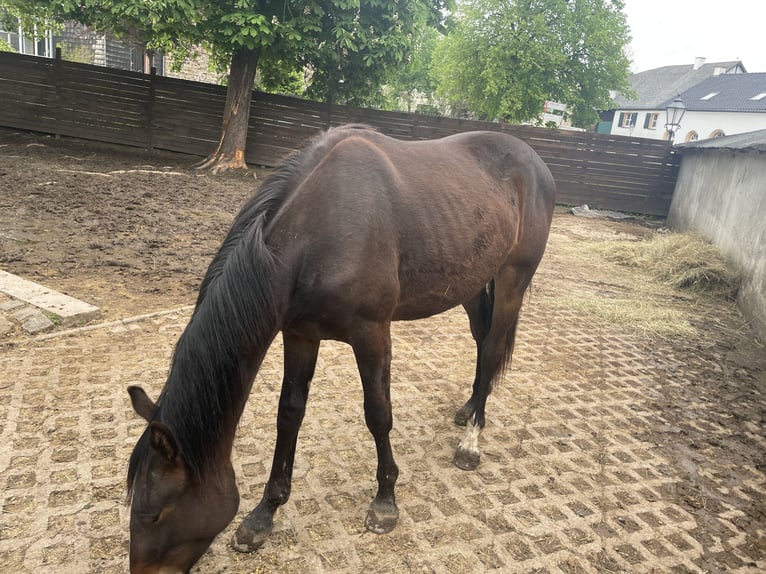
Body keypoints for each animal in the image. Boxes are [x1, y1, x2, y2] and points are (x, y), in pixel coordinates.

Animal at [126, 124, 560, 572]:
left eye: (154, 513)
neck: (314, 232)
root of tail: (534, 160)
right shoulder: (300, 335)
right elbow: (289, 415)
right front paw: (264, 514)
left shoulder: (372, 335)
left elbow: (378, 415)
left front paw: (385, 501)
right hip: (471, 281)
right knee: (480, 338)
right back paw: (469, 408)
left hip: (512, 277)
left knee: (491, 350)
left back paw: (471, 440)